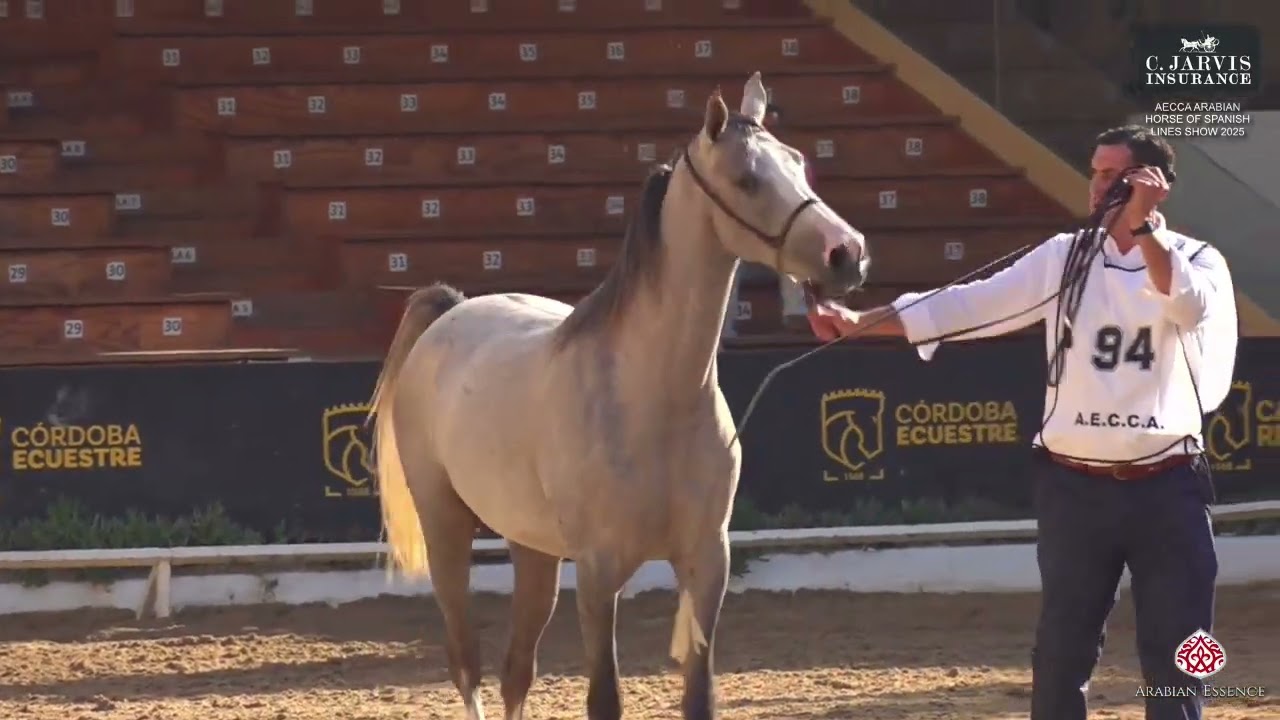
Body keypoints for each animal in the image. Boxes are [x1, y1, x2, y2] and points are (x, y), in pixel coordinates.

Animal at [366, 72, 869, 720]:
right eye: (747, 178)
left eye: (799, 163)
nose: (847, 253)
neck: (654, 399)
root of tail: (450, 313)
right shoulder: (599, 572)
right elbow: (604, 696)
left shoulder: (708, 564)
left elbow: (699, 697)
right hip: (446, 528)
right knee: (467, 664)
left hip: (533, 549)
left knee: (515, 672)